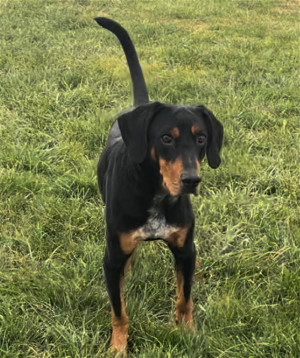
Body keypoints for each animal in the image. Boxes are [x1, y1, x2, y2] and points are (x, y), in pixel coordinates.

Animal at [95, 18, 224, 354]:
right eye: (166, 138)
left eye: (202, 138)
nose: (191, 180)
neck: (156, 195)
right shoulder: (111, 258)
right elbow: (119, 310)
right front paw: (118, 346)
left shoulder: (186, 251)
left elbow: (185, 298)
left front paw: (188, 332)